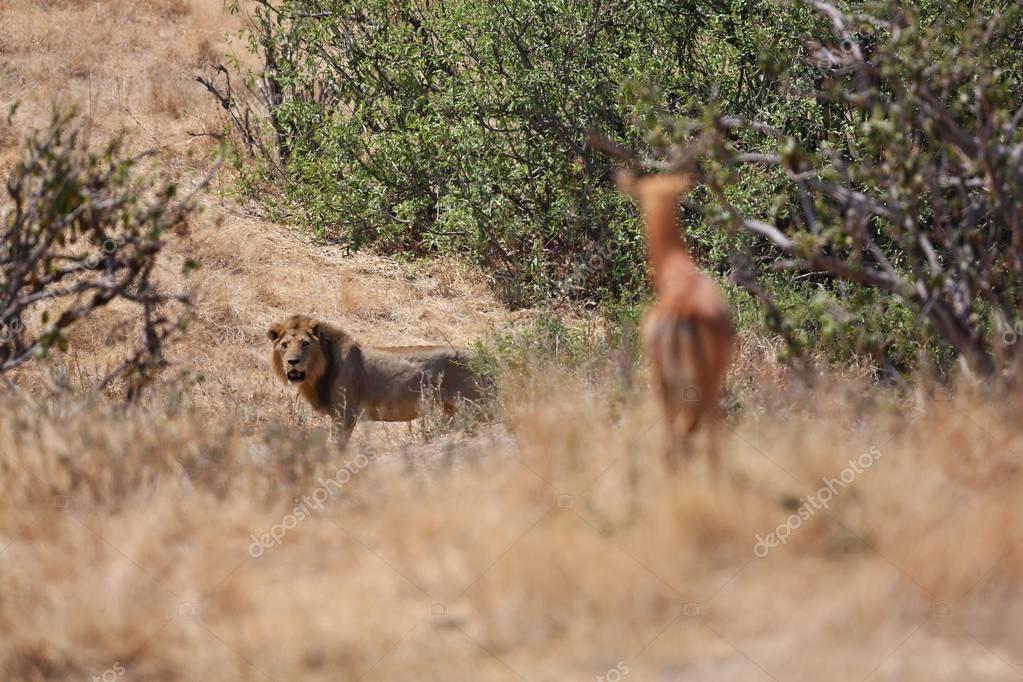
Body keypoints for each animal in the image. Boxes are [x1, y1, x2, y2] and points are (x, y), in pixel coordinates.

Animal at [268, 314, 482, 443]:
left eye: (305, 344)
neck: (317, 374)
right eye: (285, 345)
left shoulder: (345, 413)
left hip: (474, 405)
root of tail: (480, 355)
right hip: (450, 409)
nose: (293, 361)